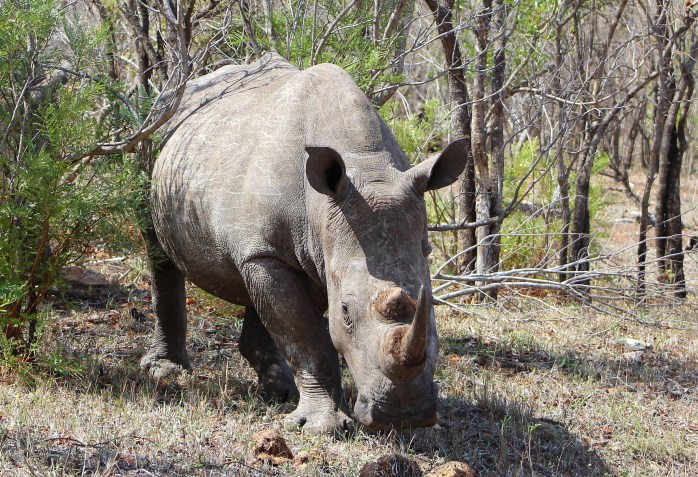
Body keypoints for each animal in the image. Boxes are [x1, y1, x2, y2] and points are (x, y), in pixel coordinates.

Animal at [141, 52, 466, 434]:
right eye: (346, 312)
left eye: (429, 307)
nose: (405, 416)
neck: (366, 168)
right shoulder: (273, 252)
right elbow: (307, 339)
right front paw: (321, 427)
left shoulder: (313, 252)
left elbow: (293, 324)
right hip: (155, 136)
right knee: (158, 249)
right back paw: (165, 371)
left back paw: (277, 391)